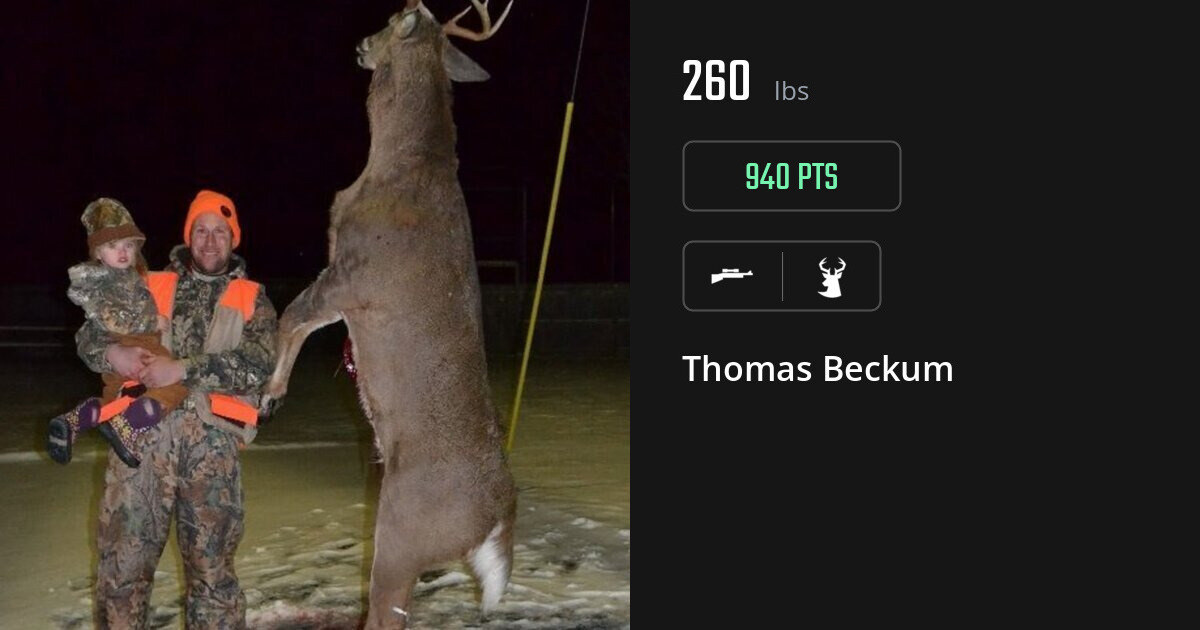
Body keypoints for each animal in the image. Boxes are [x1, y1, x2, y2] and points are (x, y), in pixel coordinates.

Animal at [258, 1, 517, 627]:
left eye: (396, 13)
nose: (358, 43)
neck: (396, 164)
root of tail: (496, 521)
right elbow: (300, 323)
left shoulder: (353, 271)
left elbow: (290, 318)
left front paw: (268, 398)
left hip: (399, 532)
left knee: (381, 610)